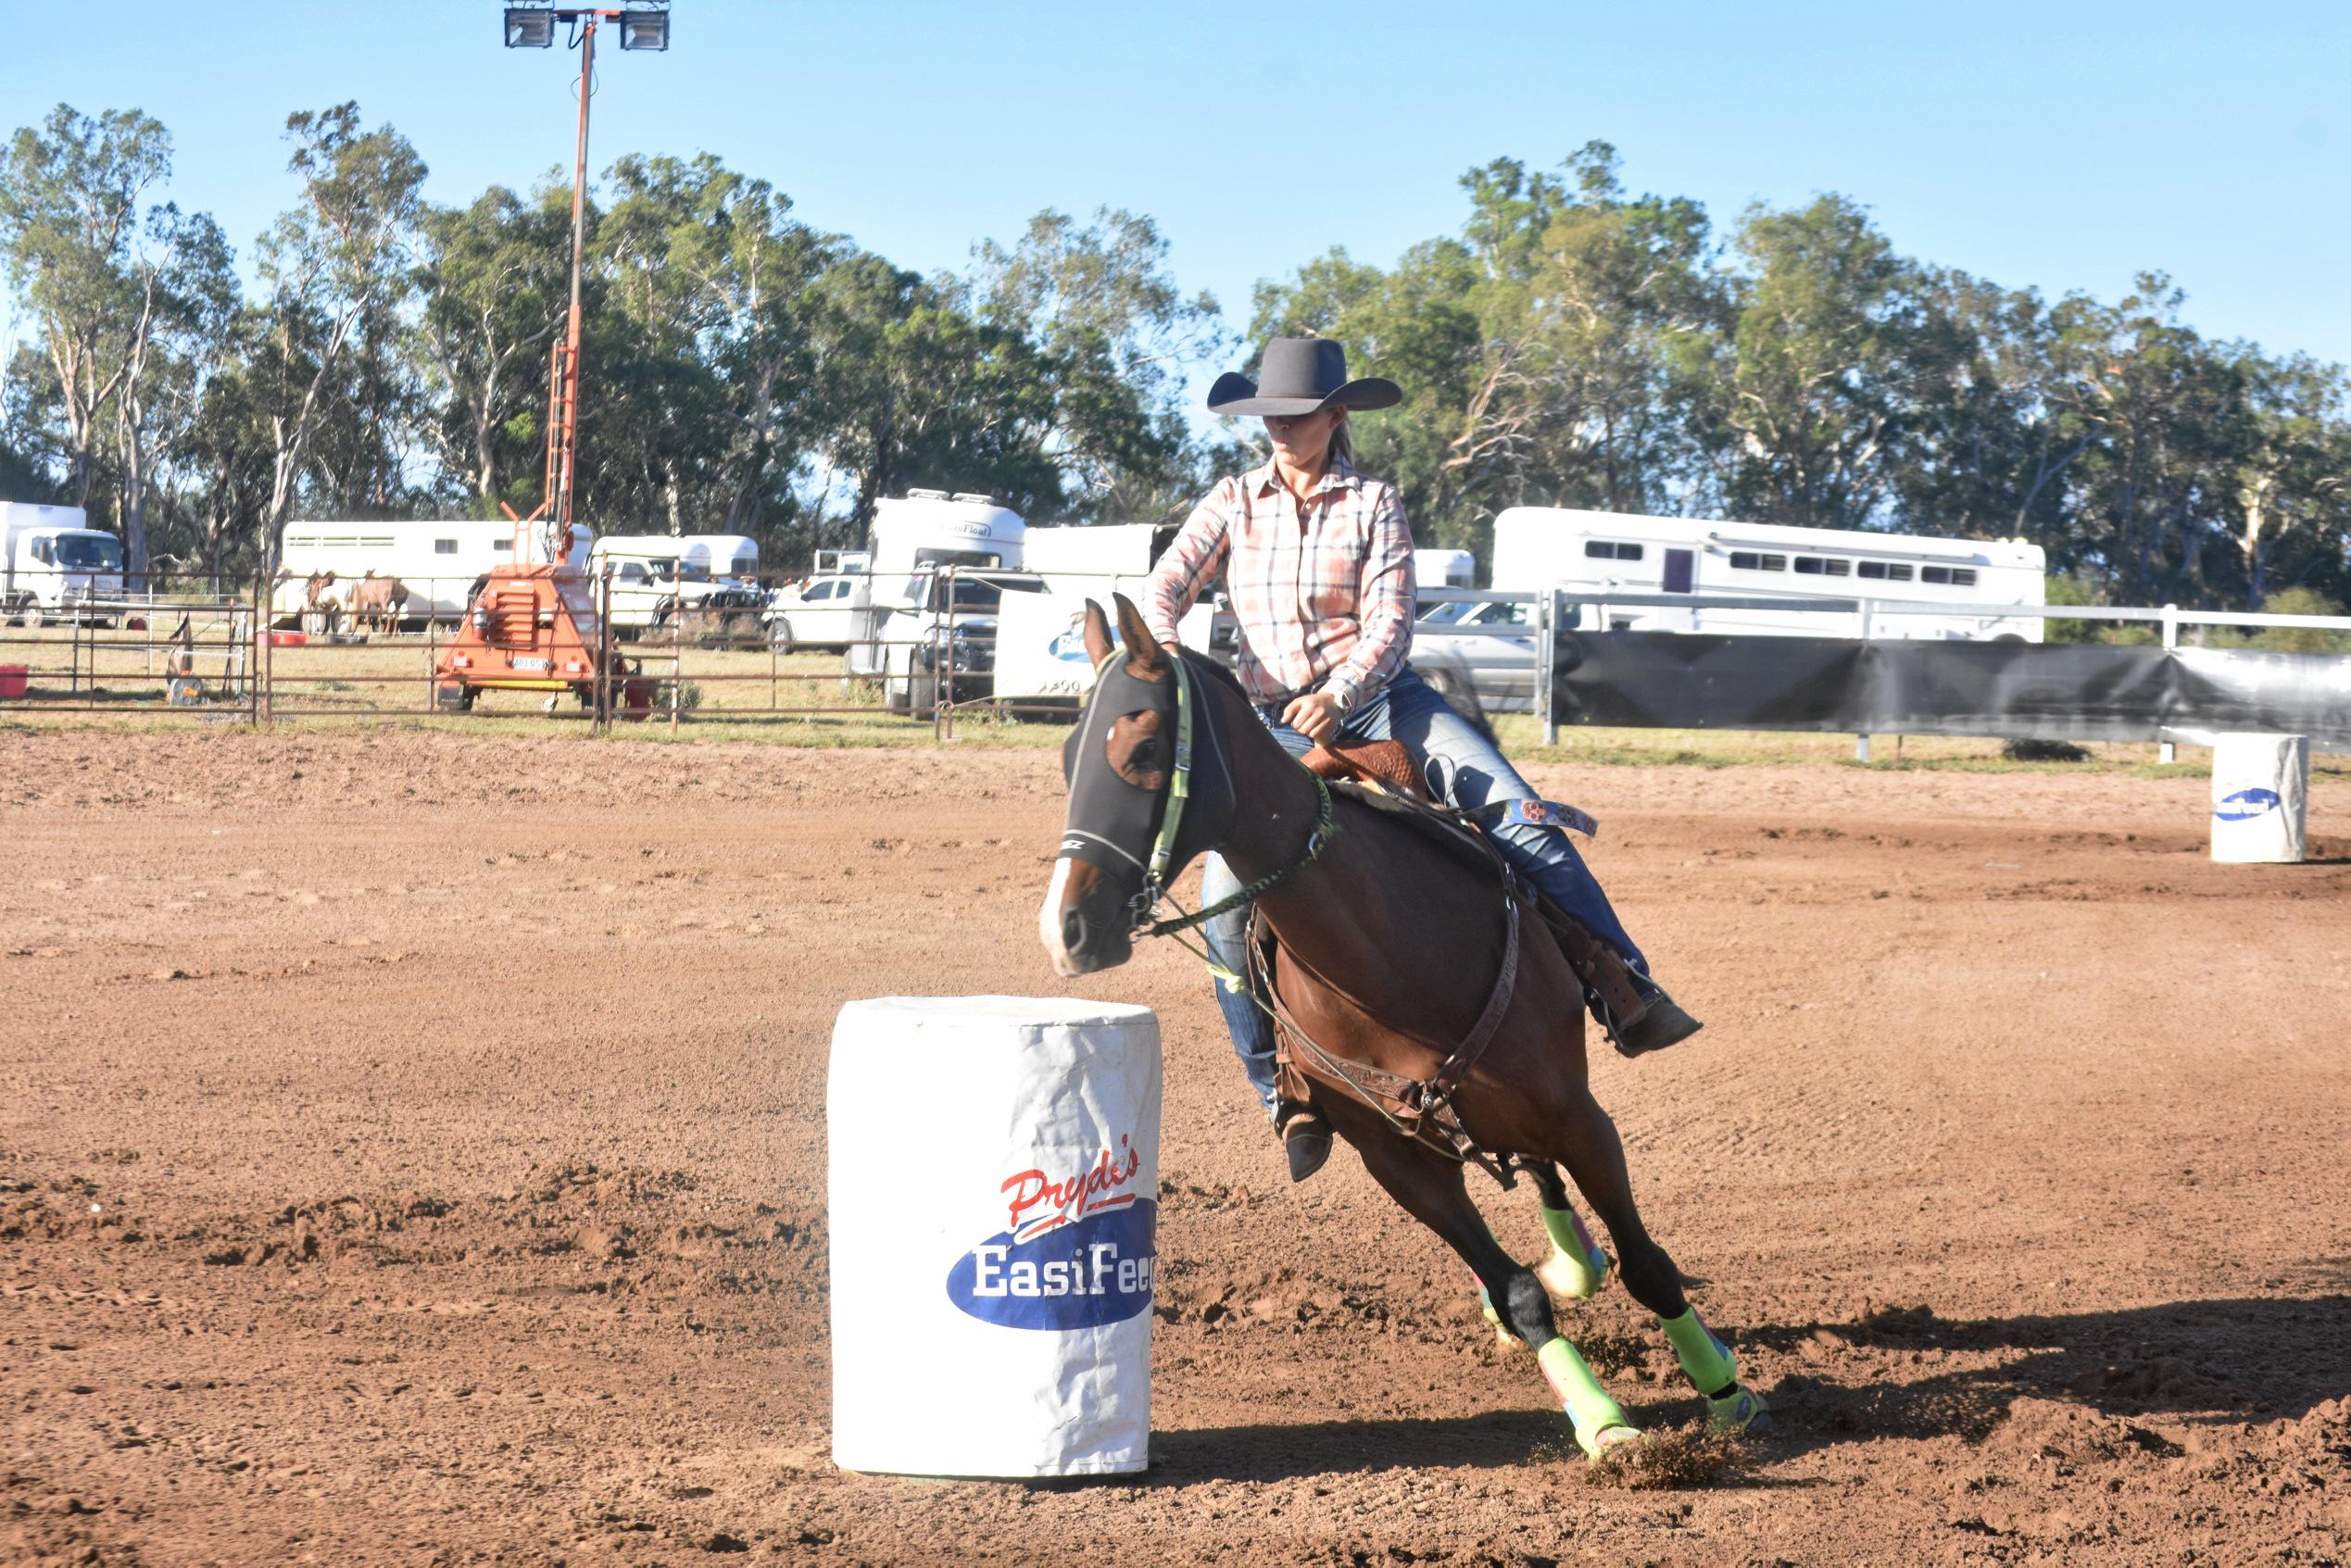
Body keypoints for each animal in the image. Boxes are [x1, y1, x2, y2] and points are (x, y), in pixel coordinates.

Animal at [1038, 595, 1767, 1466]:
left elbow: (1649, 1267)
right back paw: (1570, 1266)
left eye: (1144, 747)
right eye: (1069, 755)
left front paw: (1725, 1395)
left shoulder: (1580, 1114)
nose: (1067, 929)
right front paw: (1603, 1422)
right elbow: (1517, 1290)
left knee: (1554, 1179)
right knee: (1530, 1186)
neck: (1389, 951)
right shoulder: (1397, 1159)